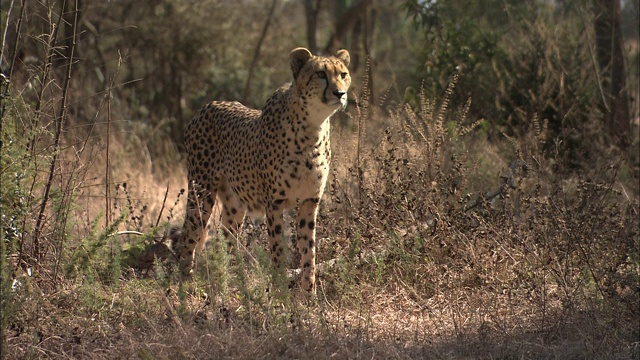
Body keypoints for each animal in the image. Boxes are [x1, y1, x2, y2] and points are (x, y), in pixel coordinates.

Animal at [171, 47, 350, 292]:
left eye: (343, 74)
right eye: (321, 74)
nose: (340, 93)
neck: (313, 130)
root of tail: (209, 105)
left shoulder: (309, 202)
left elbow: (309, 253)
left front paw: (309, 294)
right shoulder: (273, 204)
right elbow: (277, 251)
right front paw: (280, 292)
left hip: (235, 205)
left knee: (223, 239)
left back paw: (226, 285)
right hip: (202, 193)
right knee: (190, 236)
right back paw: (186, 285)